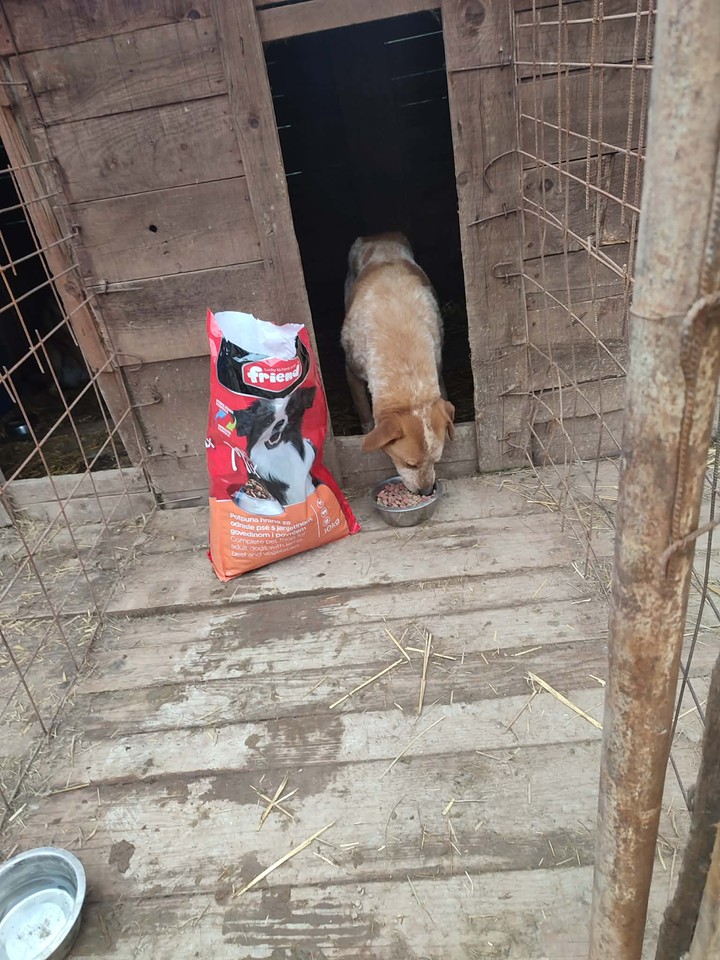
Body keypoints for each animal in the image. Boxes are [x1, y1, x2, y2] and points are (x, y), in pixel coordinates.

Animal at [341, 232, 455, 495]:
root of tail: (378, 234)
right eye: (409, 463)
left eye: (436, 460)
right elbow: (365, 417)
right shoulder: (351, 371)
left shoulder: (437, 364)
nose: (427, 491)